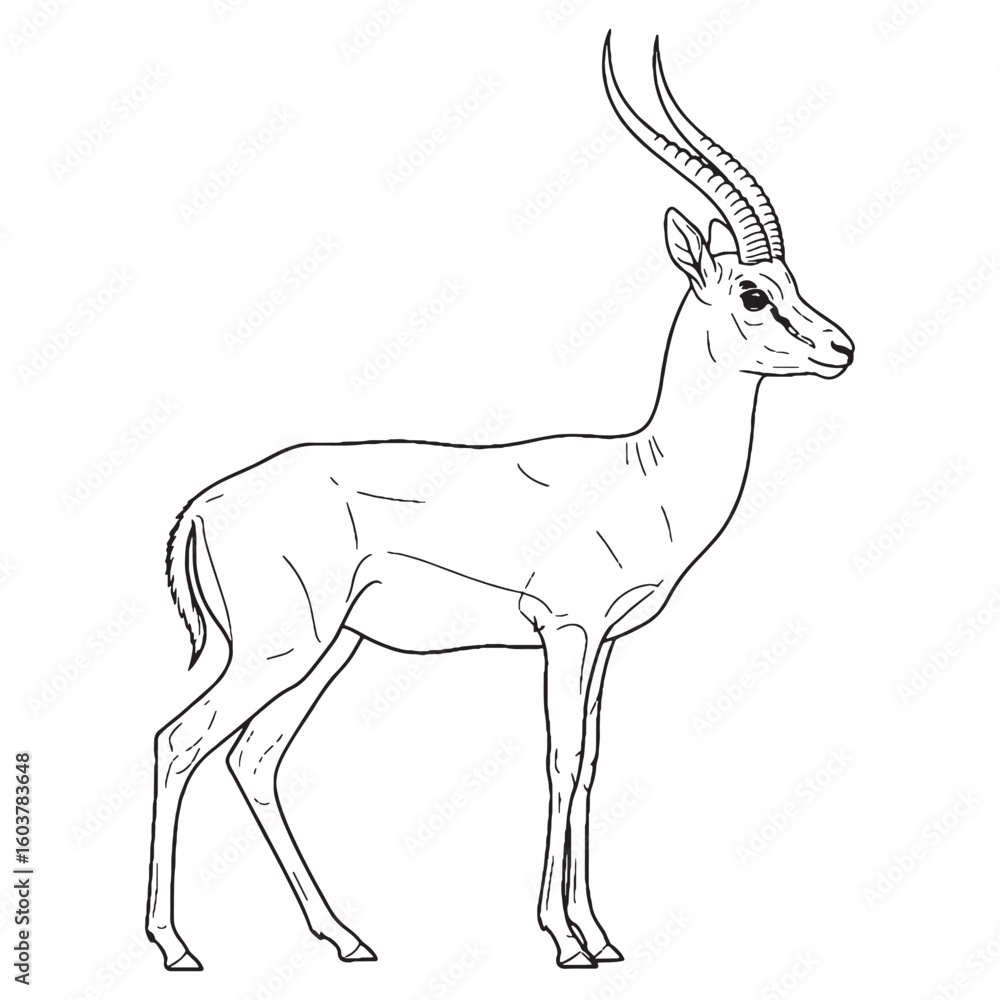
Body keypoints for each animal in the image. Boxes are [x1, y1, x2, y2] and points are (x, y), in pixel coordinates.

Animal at [146, 32, 855, 971]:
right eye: (753, 293)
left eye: (793, 281)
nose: (843, 348)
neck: (644, 469)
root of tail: (206, 502)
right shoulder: (566, 627)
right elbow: (560, 758)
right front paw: (566, 940)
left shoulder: (604, 642)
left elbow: (590, 762)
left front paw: (600, 935)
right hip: (276, 649)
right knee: (180, 740)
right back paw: (175, 946)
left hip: (326, 650)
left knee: (255, 757)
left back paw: (345, 938)